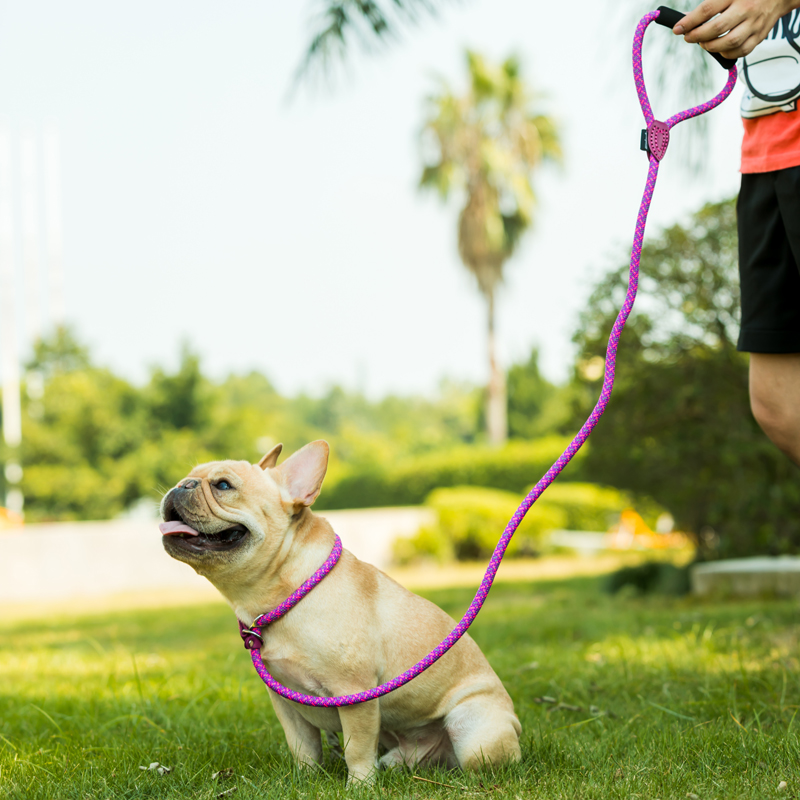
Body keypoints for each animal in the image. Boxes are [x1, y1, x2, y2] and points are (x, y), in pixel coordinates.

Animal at [159, 438, 520, 780]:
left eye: (223, 485)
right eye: (188, 476)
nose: (183, 484)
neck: (289, 592)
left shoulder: (355, 695)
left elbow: (356, 749)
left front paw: (360, 785)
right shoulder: (286, 703)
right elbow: (302, 746)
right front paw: (304, 780)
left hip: (473, 732)